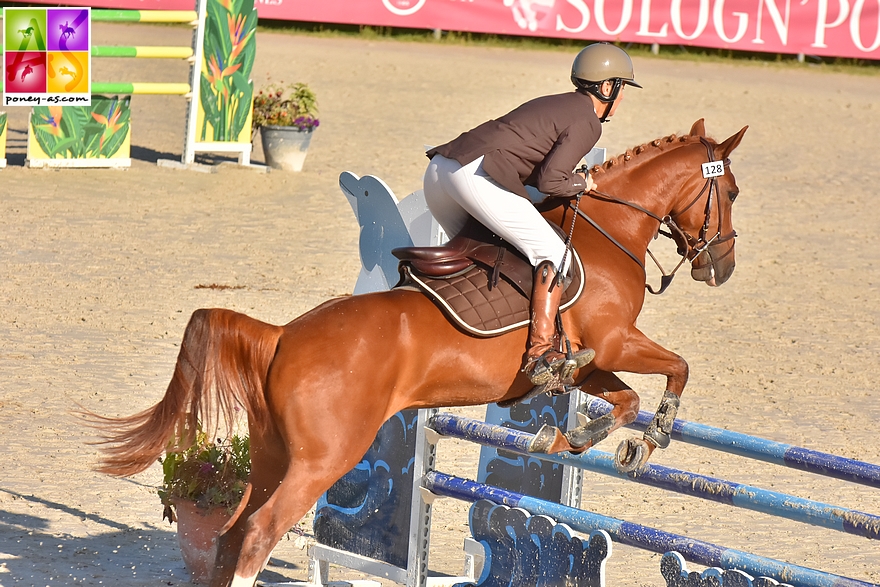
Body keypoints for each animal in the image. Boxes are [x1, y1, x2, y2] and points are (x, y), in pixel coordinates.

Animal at [93, 120, 744, 587]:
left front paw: (582, 440)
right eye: (731, 192)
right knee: (256, 534)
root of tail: (282, 336)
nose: (721, 266)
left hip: (274, 453)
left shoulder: (587, 362)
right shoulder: (614, 341)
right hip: (322, 460)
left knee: (230, 534)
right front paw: (655, 433)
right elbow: (678, 367)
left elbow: (622, 400)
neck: (609, 232)